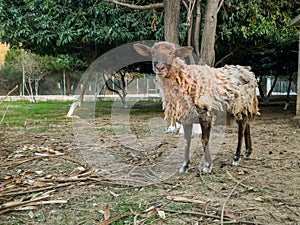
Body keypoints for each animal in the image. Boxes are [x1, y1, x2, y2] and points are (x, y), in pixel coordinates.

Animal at [134, 41, 260, 173]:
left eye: (172, 53)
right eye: (152, 53)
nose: (159, 68)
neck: (185, 80)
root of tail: (248, 71)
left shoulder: (205, 114)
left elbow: (204, 140)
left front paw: (207, 165)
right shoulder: (185, 116)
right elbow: (187, 140)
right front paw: (184, 166)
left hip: (241, 105)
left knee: (241, 131)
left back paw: (236, 158)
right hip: (243, 108)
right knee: (247, 126)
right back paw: (247, 152)